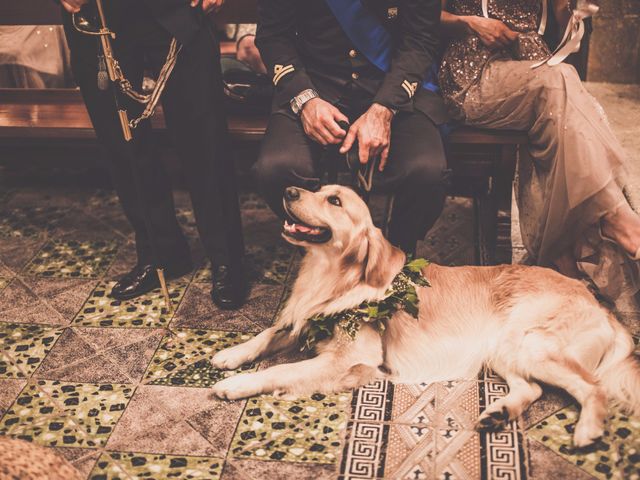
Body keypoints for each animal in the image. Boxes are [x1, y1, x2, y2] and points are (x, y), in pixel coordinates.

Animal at [211, 186, 640, 448]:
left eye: (334, 201)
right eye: (318, 190)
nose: (289, 190)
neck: (335, 278)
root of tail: (601, 307)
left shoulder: (351, 358)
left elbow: (281, 371)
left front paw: (237, 384)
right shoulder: (306, 318)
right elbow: (270, 332)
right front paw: (231, 355)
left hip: (532, 342)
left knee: (592, 387)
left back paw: (587, 430)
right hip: (505, 348)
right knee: (531, 389)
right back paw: (497, 414)